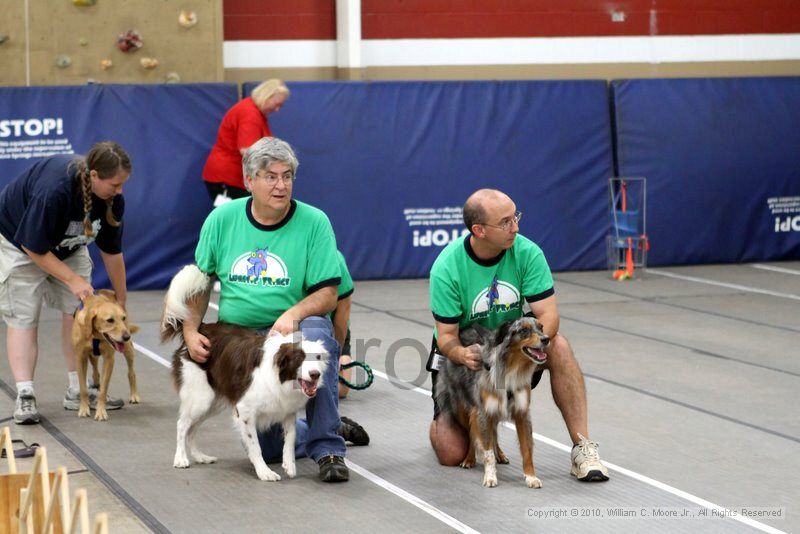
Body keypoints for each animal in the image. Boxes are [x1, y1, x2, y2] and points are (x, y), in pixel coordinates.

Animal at [71, 288, 139, 422]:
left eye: (123, 318)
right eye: (110, 320)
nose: (127, 336)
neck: (96, 335)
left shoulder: (109, 359)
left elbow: (103, 390)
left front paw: (101, 412)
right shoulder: (80, 357)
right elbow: (83, 388)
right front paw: (84, 408)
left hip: (128, 350)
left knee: (131, 373)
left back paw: (134, 395)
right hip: (92, 356)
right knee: (95, 371)